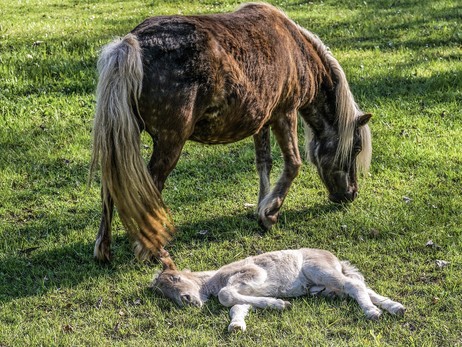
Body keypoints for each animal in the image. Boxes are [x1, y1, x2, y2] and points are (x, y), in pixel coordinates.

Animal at [89, 2, 372, 260]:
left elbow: (264, 163)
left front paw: (262, 207)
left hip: (122, 138)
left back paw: (104, 249)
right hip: (170, 142)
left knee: (112, 186)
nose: (351, 194)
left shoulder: (263, 121)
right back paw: (152, 249)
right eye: (356, 147)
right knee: (151, 187)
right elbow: (293, 164)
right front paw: (270, 212)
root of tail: (132, 43)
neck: (297, 51)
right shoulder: (285, 114)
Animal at [152, 249, 404, 334]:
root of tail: (334, 258)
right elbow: (237, 307)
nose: (186, 300)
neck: (215, 278)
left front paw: (281, 303)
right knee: (359, 285)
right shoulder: (246, 295)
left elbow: (226, 295)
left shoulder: (252, 273)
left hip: (318, 270)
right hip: (328, 282)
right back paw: (395, 307)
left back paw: (372, 312)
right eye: (164, 294)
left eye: (176, 278)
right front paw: (237, 326)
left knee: (354, 285)